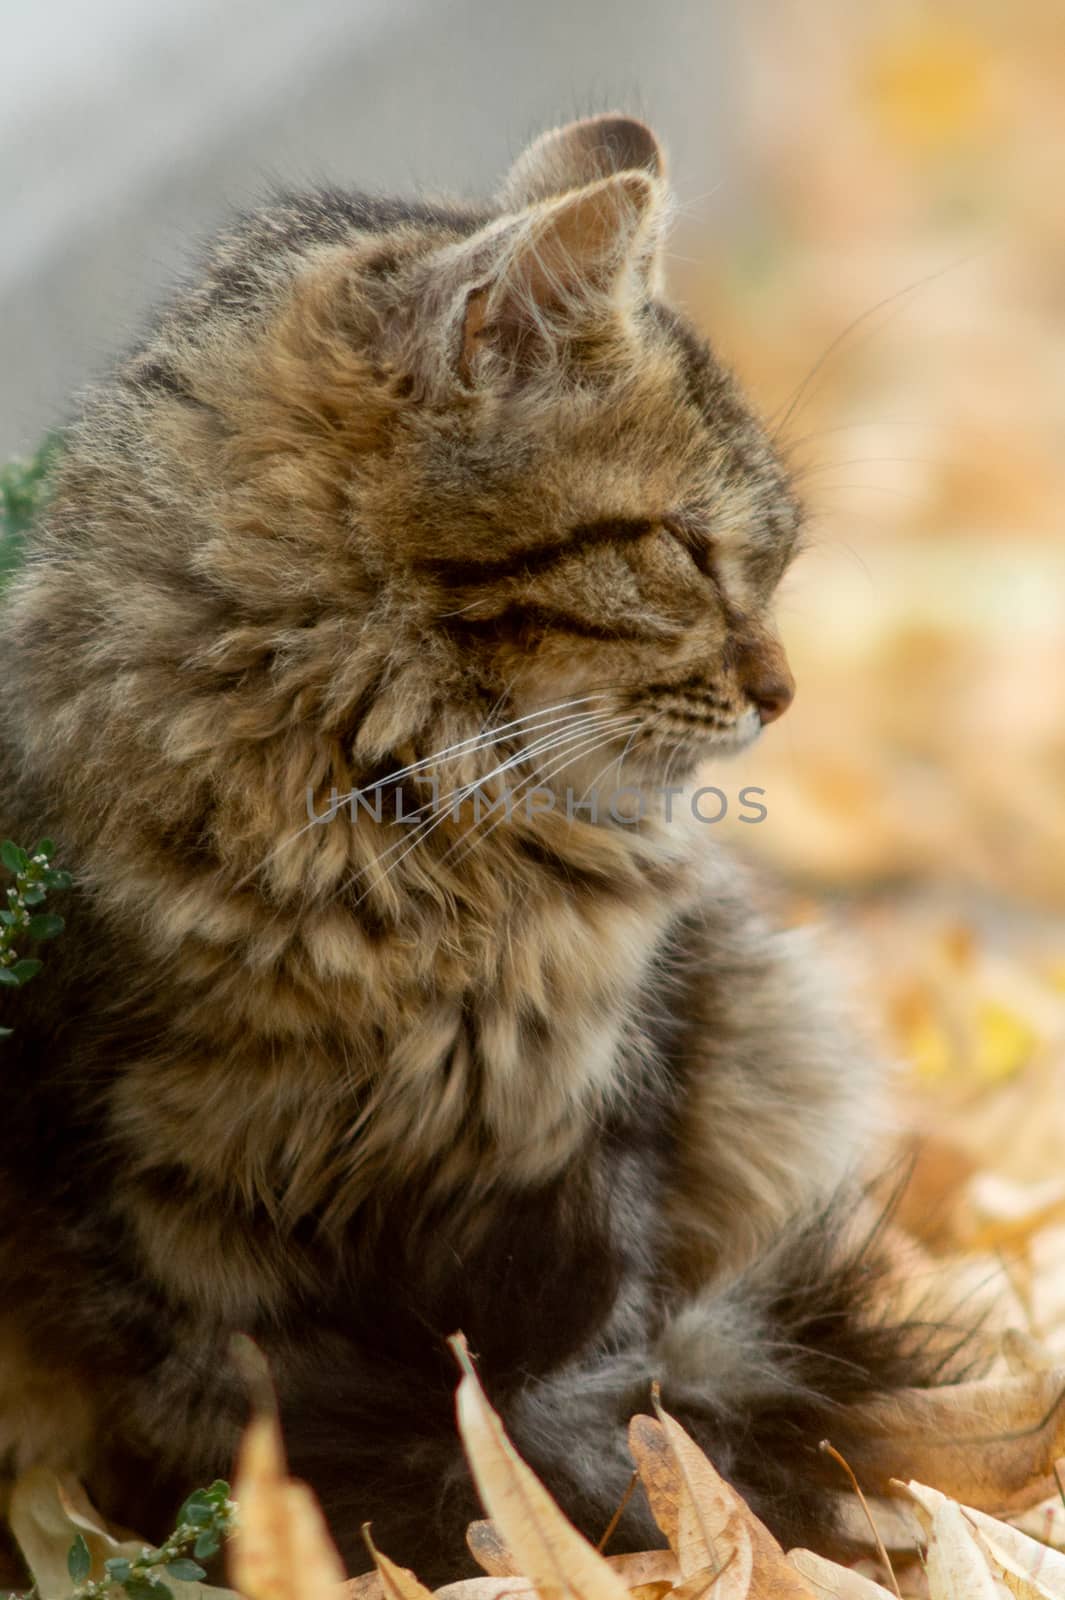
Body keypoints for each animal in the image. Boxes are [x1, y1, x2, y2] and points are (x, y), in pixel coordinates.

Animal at [0, 118, 946, 1580]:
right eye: (685, 551)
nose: (782, 692)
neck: (405, 833)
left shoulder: (601, 1124)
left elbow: (605, 1382)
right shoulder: (159, 1186)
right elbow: (241, 1413)